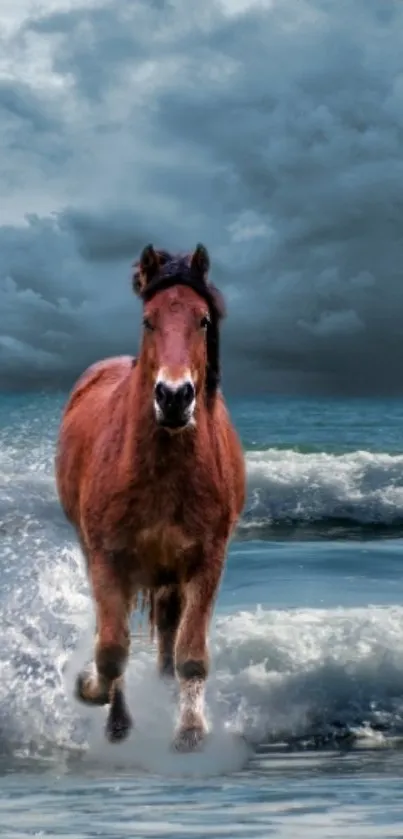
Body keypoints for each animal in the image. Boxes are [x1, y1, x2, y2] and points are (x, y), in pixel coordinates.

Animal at [55, 243, 246, 756]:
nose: (174, 396)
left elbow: (191, 653)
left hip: (169, 576)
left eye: (203, 320)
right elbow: (110, 649)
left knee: (166, 637)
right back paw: (118, 722)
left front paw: (190, 730)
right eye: (148, 320)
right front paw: (90, 691)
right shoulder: (107, 558)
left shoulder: (207, 561)